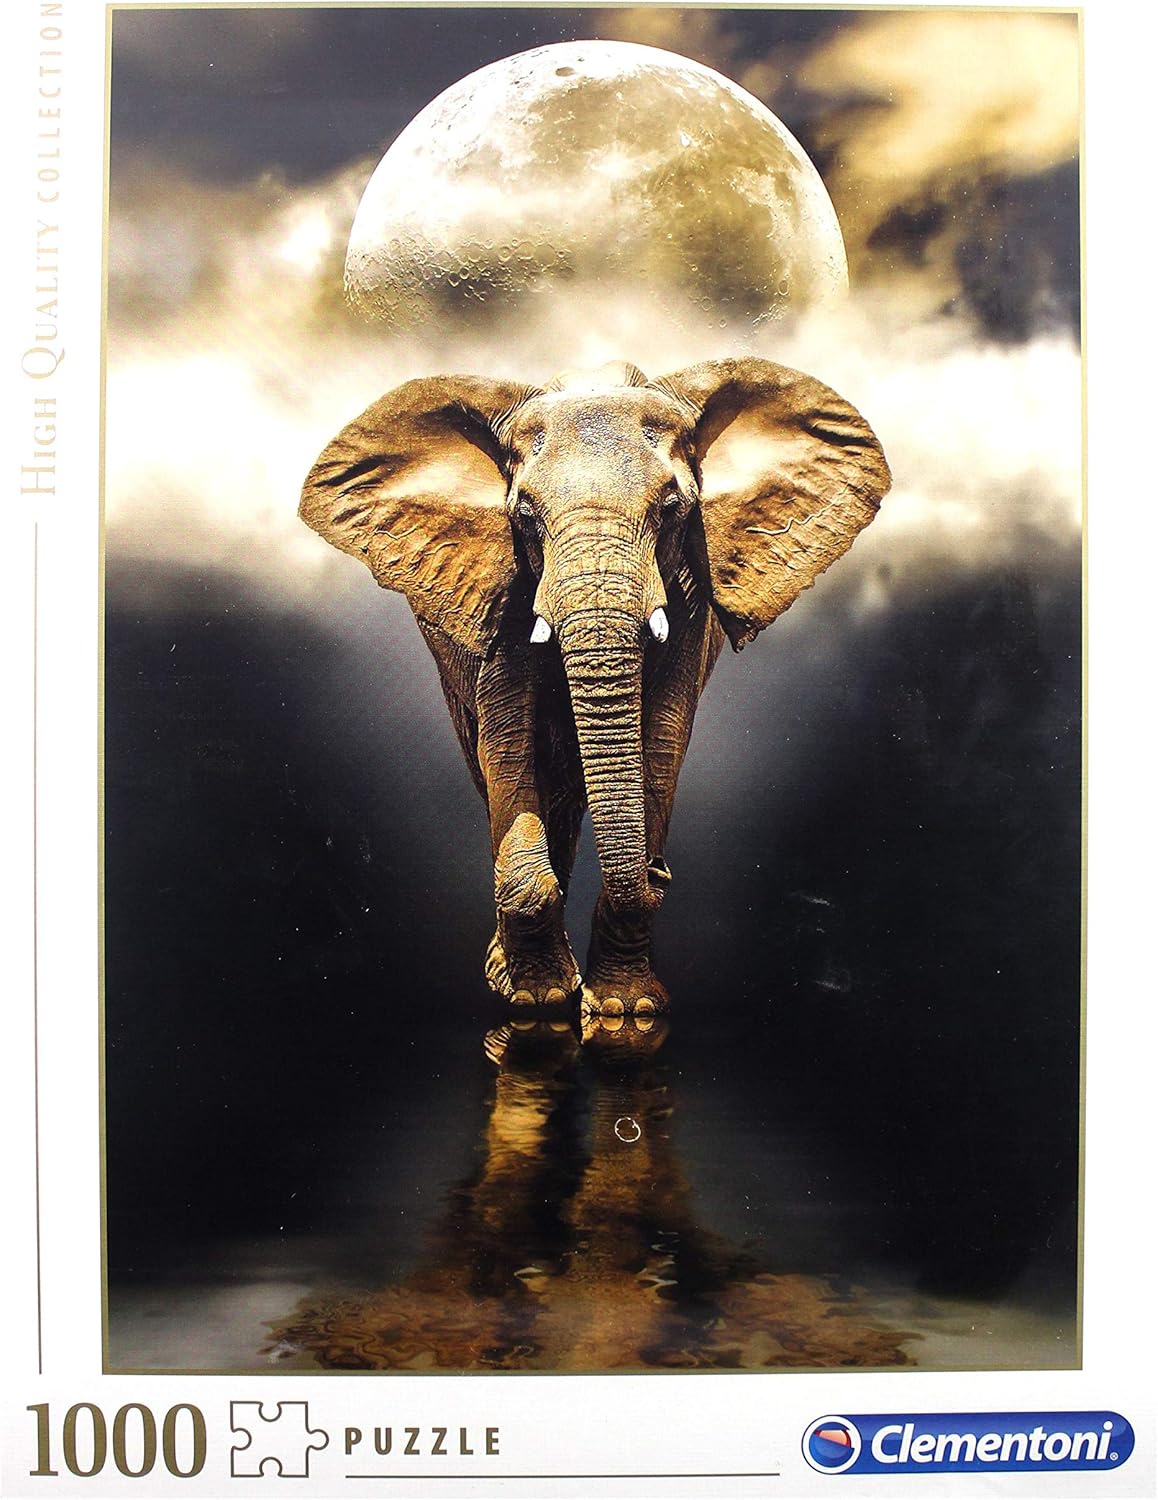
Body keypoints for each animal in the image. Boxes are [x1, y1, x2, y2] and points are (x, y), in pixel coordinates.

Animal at [300, 357, 890, 1015]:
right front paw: (537, 1000)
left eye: (671, 509)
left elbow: (661, 739)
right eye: (524, 514)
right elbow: (508, 738)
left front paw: (621, 1011)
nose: (660, 872)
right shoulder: (506, 582)